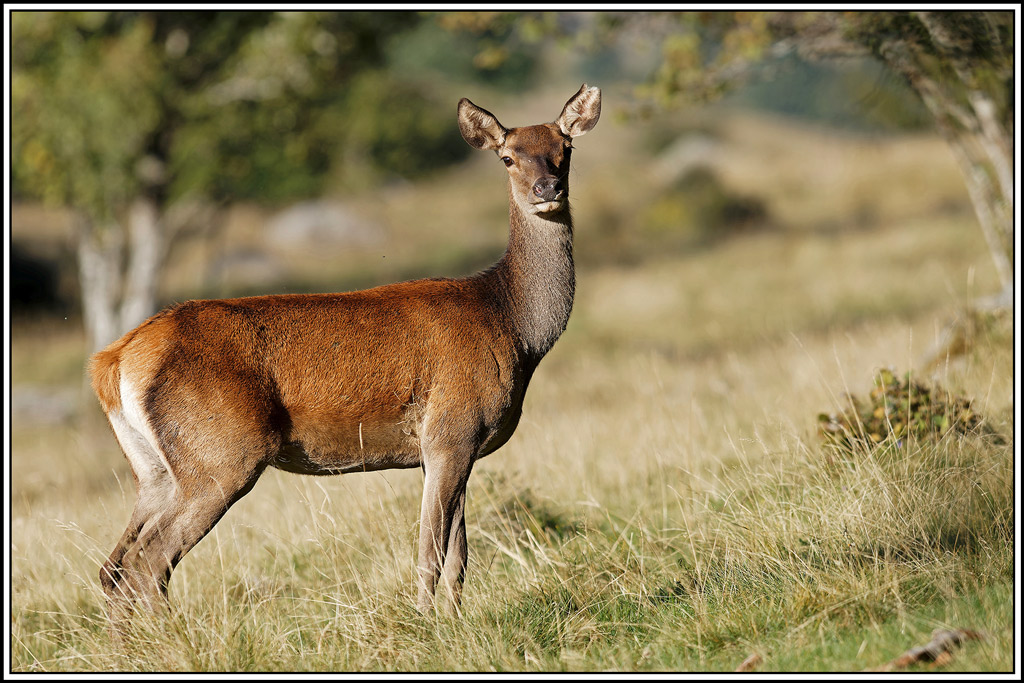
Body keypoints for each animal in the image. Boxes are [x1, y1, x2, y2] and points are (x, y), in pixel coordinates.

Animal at [89, 84, 601, 628]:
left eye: (565, 149)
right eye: (507, 157)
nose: (547, 188)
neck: (514, 328)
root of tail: (113, 361)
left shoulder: (447, 449)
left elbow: (459, 557)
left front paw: (455, 624)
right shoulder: (452, 428)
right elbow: (431, 553)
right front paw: (427, 627)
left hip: (154, 470)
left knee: (113, 568)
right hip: (222, 453)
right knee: (148, 564)